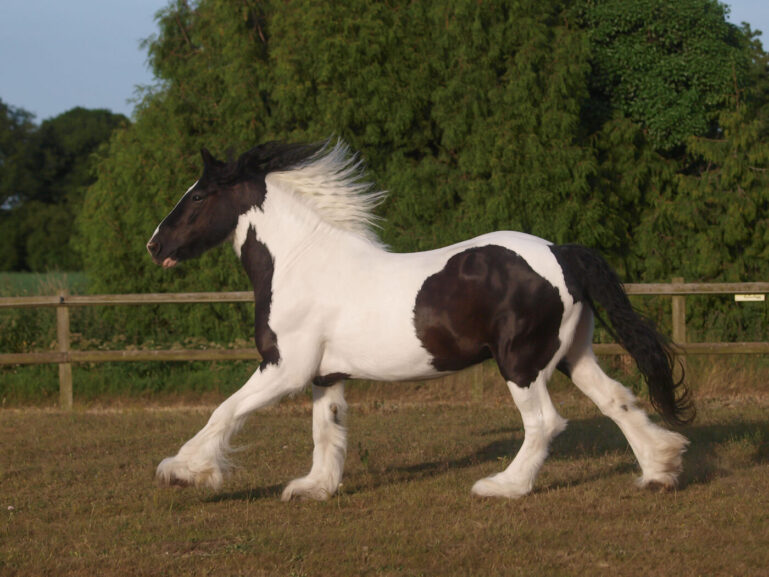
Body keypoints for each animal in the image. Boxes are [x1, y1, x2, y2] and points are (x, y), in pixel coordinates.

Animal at [147, 141, 692, 500]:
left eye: (197, 196)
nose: (155, 246)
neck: (301, 262)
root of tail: (561, 252)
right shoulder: (325, 374)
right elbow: (327, 430)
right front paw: (314, 487)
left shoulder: (285, 368)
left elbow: (224, 411)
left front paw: (181, 470)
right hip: (570, 354)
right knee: (617, 400)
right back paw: (660, 470)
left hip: (520, 363)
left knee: (545, 422)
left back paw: (502, 487)